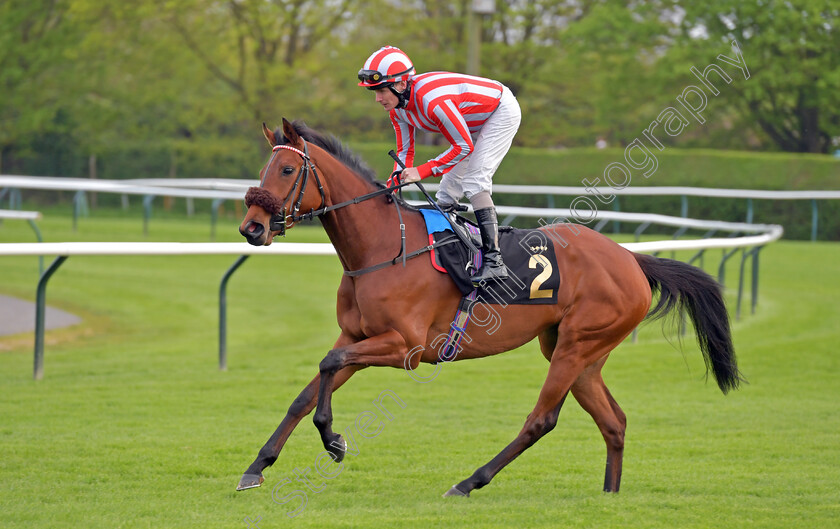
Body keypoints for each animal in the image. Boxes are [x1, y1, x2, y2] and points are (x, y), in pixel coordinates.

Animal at [236, 117, 740, 498]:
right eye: (265, 168)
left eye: (286, 170)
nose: (251, 228)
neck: (382, 246)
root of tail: (632, 259)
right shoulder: (360, 336)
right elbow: (307, 391)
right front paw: (257, 466)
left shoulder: (404, 347)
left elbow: (328, 363)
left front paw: (334, 440)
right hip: (579, 351)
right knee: (614, 421)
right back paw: (609, 495)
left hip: (576, 346)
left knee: (541, 420)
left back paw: (469, 482)